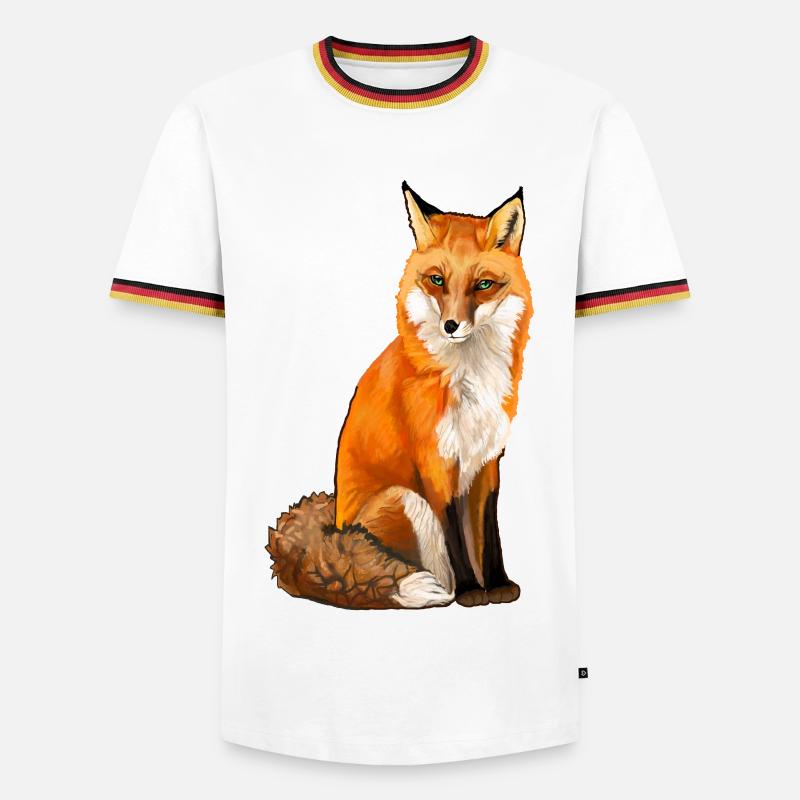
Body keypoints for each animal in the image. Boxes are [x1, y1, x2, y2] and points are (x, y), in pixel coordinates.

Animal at [267, 182, 533, 610]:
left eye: (483, 285)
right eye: (437, 280)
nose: (451, 325)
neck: (469, 378)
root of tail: (333, 526)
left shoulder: (487, 461)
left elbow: (489, 534)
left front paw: (498, 584)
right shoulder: (435, 462)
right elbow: (456, 538)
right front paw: (472, 591)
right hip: (406, 499)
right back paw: (442, 590)